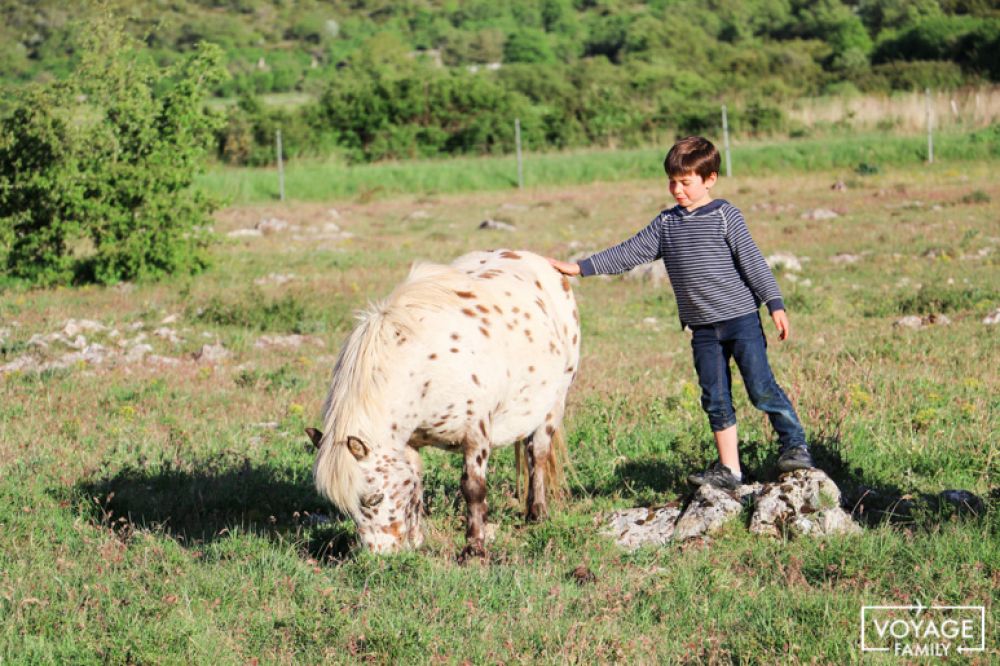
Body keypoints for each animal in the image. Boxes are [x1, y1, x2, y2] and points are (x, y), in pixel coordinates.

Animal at [308, 246, 584, 552]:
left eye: (374, 499)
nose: (380, 555)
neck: (423, 365)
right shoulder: (409, 442)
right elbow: (415, 485)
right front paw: (416, 541)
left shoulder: (476, 434)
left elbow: (473, 489)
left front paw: (474, 549)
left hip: (553, 405)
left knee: (537, 454)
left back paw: (537, 514)